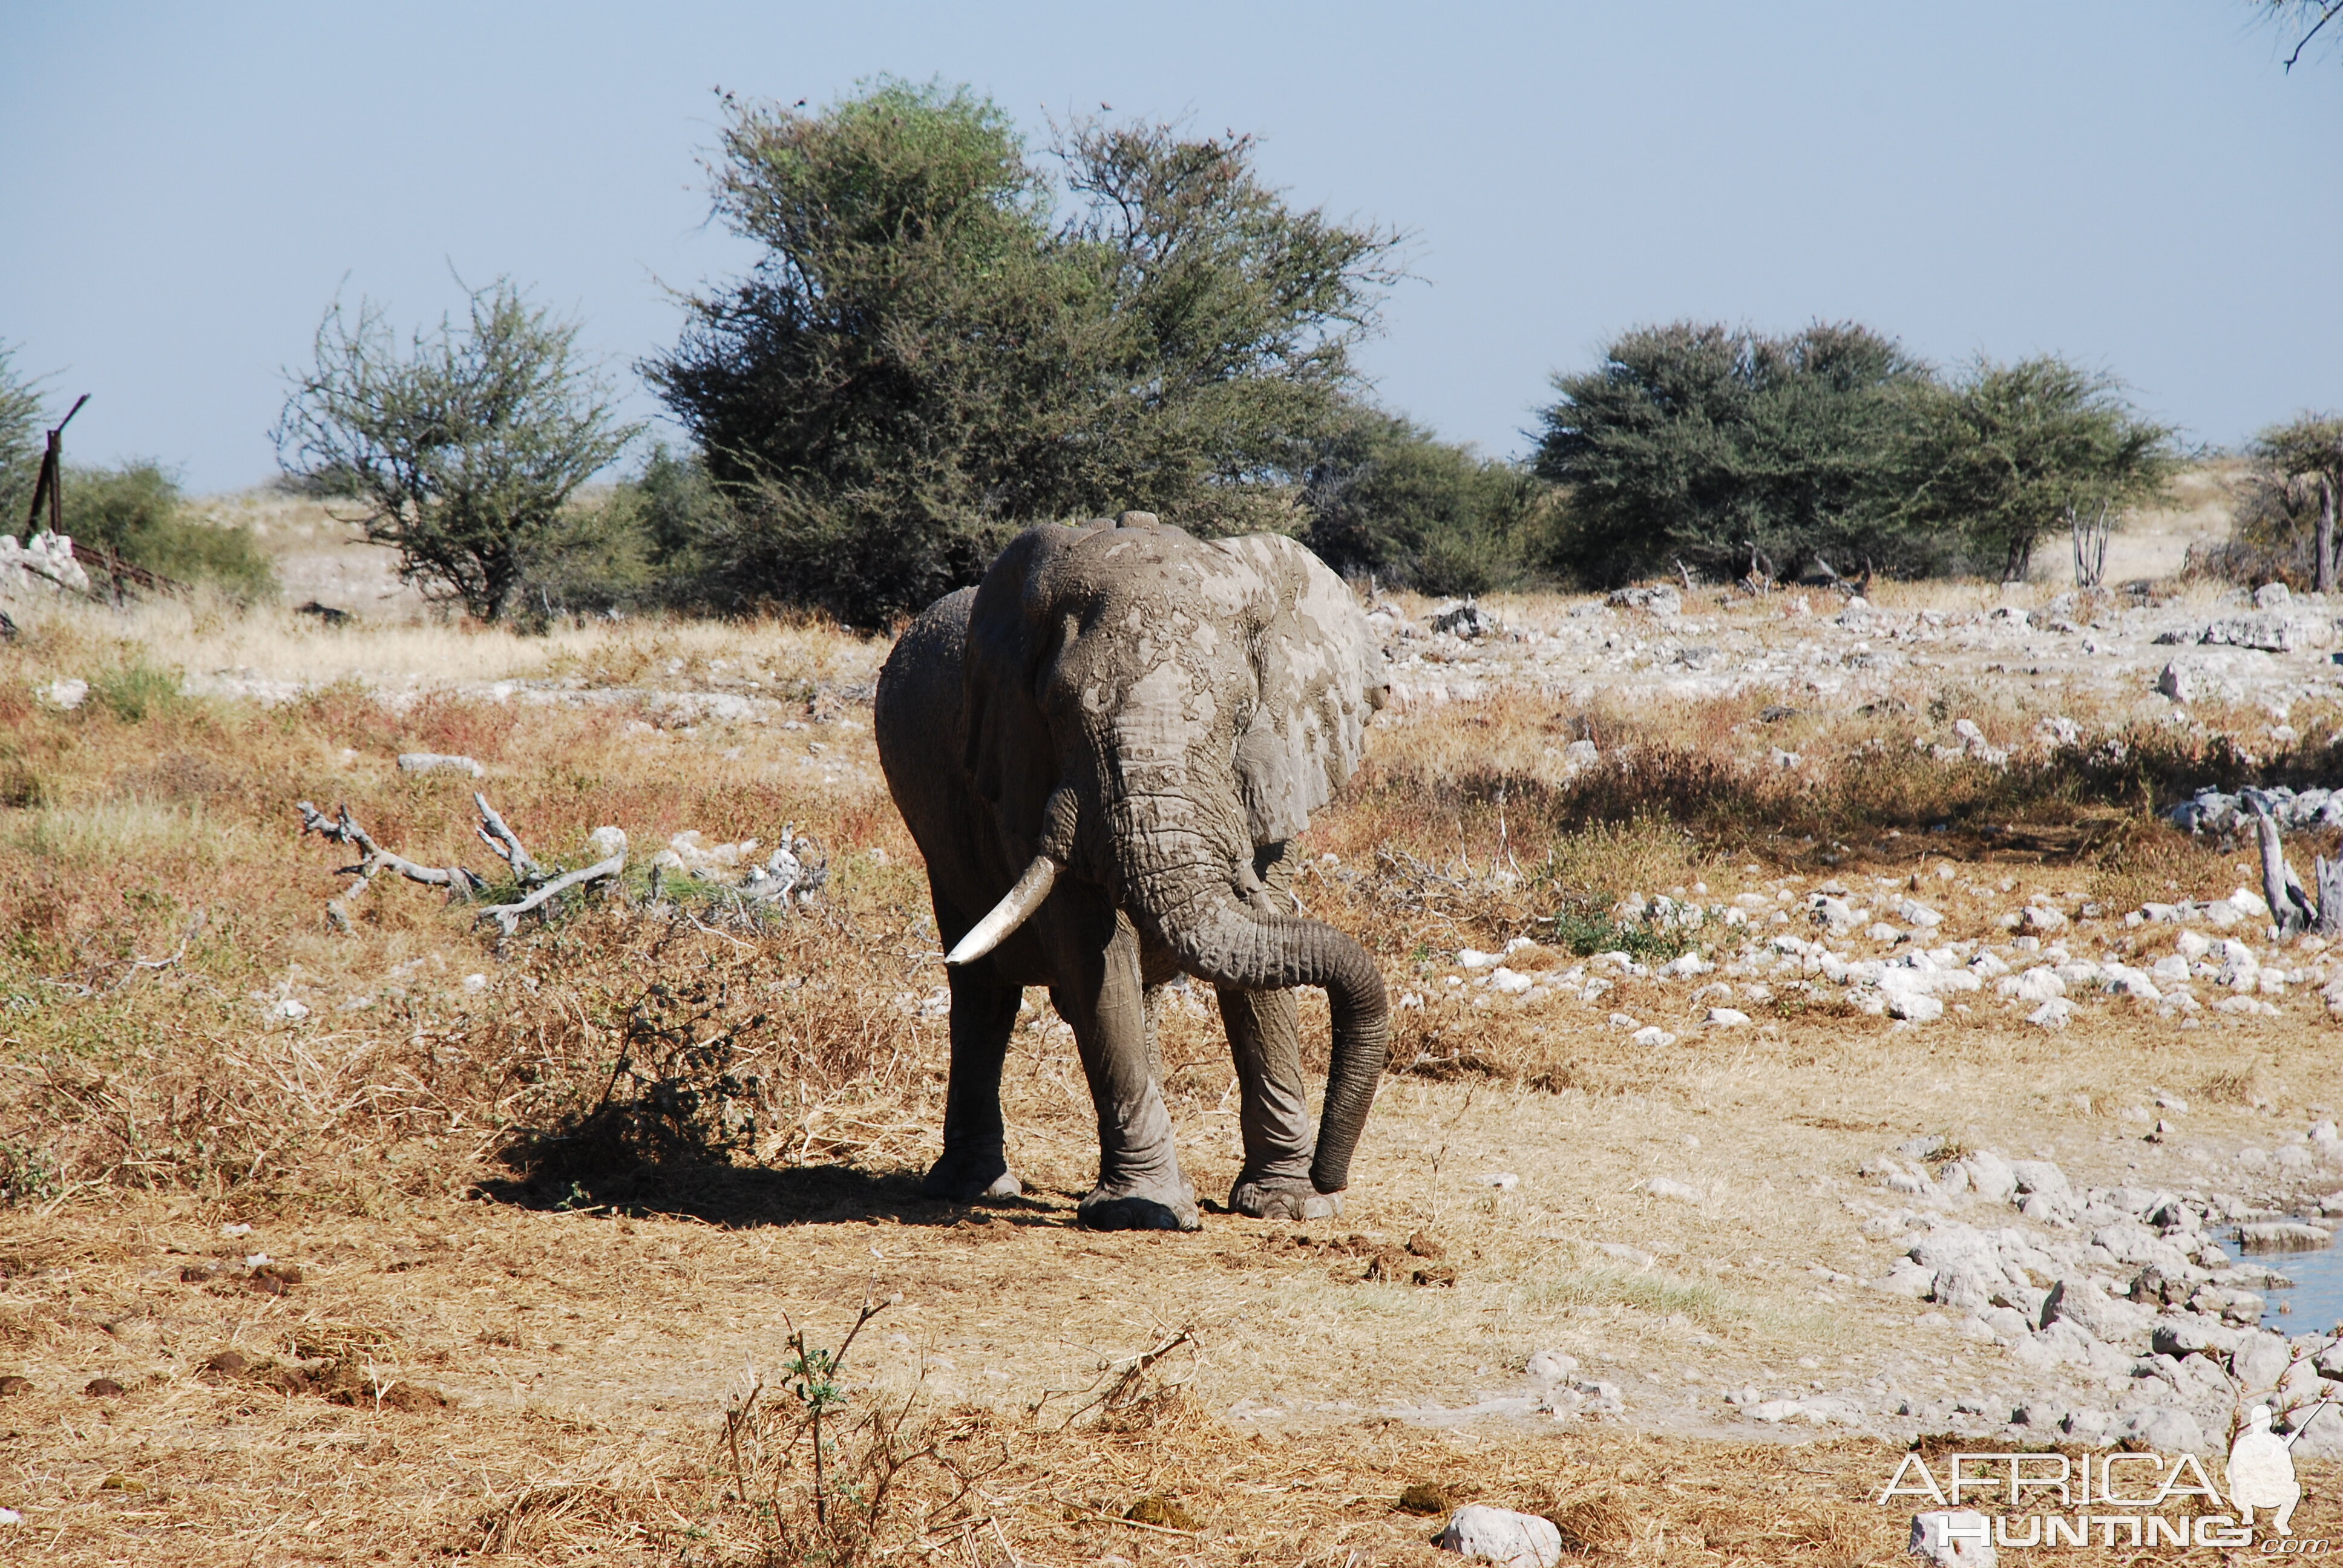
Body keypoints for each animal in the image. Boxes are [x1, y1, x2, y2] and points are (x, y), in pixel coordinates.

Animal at [880, 511, 1387, 1218]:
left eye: (1242, 714)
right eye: (1057, 711)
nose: (1331, 1173)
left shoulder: (1282, 764)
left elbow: (1263, 949)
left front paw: (1291, 1206)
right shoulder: (1025, 767)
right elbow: (1091, 947)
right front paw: (1141, 1213)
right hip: (938, 834)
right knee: (983, 992)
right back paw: (974, 1188)